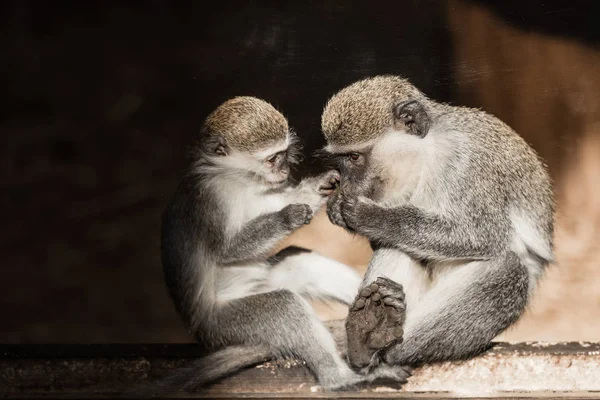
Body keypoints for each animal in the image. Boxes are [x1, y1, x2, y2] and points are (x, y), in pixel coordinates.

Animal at [151, 96, 412, 394]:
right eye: (272, 159)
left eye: (285, 154)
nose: (285, 169)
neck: (236, 180)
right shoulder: (209, 199)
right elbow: (227, 251)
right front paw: (288, 217)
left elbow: (275, 201)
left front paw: (319, 185)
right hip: (227, 325)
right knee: (284, 305)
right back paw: (342, 377)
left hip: (266, 281)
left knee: (302, 263)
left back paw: (375, 315)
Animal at [318, 76, 552, 374]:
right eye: (340, 161)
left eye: (354, 158)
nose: (346, 184)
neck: (428, 154)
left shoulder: (467, 162)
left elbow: (483, 236)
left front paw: (368, 216)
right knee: (396, 246)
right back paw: (366, 334)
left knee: (509, 269)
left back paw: (384, 343)